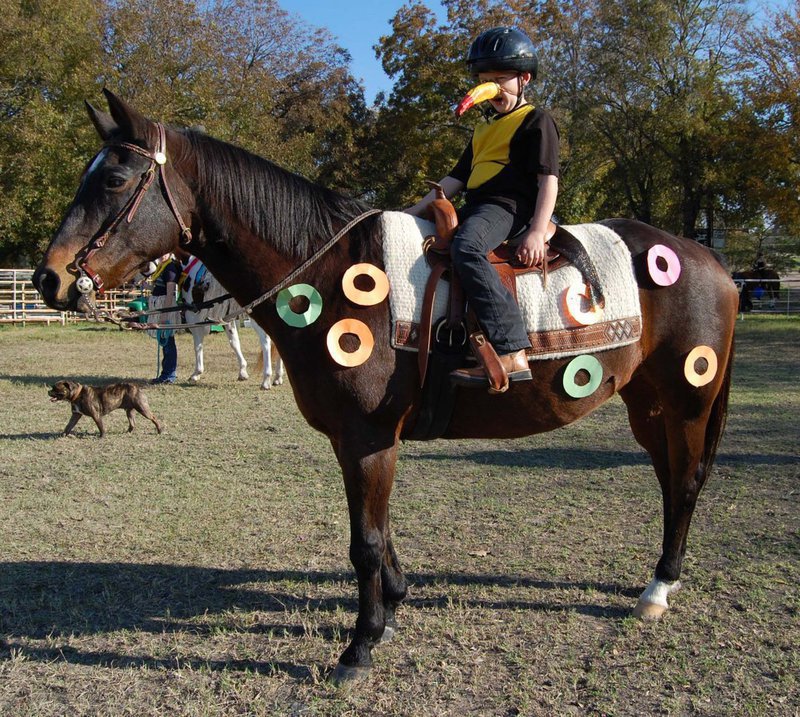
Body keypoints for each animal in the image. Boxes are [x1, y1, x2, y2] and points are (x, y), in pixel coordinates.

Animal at [33, 91, 738, 683]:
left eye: (114, 180)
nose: (48, 278)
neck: (330, 270)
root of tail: (706, 258)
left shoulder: (368, 435)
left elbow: (365, 542)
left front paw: (361, 644)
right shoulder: (361, 441)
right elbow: (378, 530)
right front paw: (394, 606)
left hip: (686, 399)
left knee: (685, 482)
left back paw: (657, 589)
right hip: (648, 404)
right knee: (671, 478)